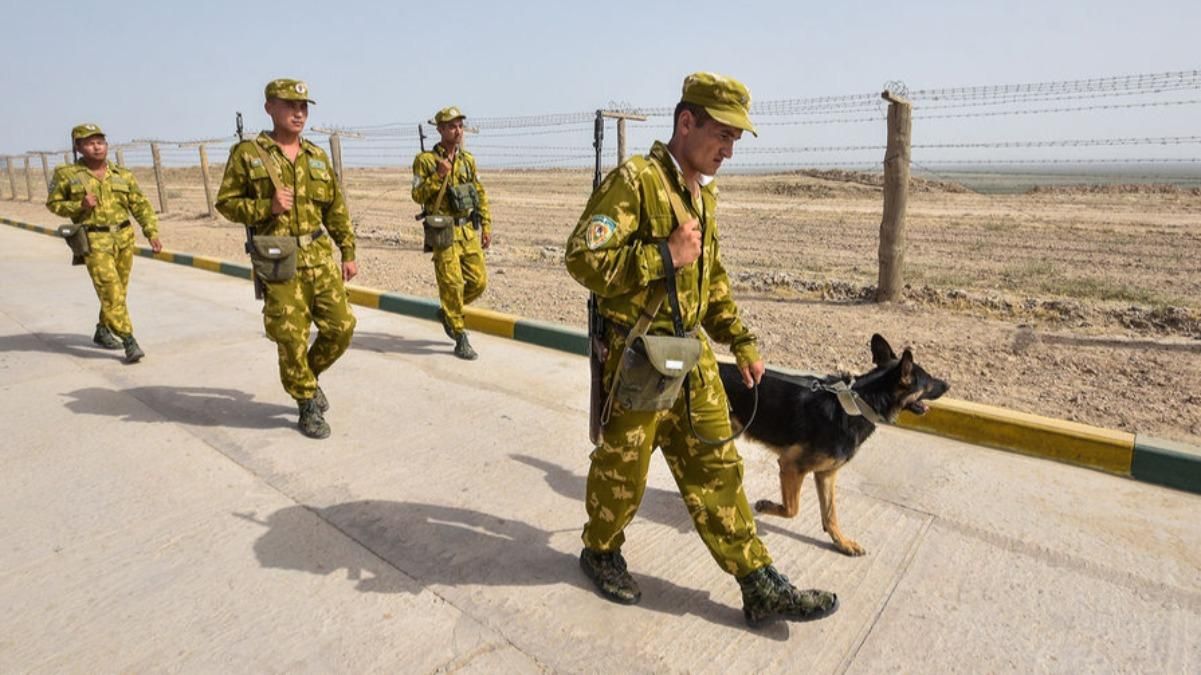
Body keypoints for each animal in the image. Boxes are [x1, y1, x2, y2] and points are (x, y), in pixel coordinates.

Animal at [715, 333, 951, 554]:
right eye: (929, 380)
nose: (948, 384)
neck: (860, 402)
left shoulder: (826, 473)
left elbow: (830, 514)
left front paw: (842, 543)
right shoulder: (791, 466)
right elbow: (792, 509)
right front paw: (766, 506)